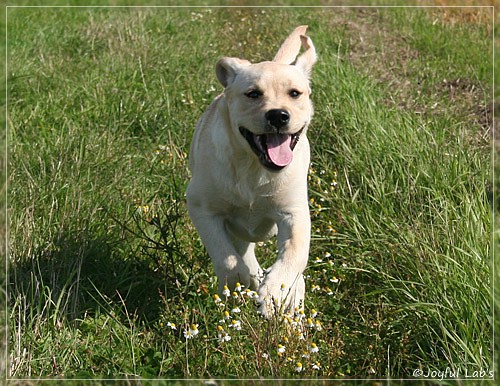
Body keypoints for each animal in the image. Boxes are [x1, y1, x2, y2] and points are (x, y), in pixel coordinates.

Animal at [188, 26, 316, 316]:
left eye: (295, 93)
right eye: (253, 94)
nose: (278, 115)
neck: (254, 169)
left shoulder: (294, 213)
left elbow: (294, 252)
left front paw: (275, 292)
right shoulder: (202, 209)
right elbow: (225, 255)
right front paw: (239, 280)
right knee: (243, 250)